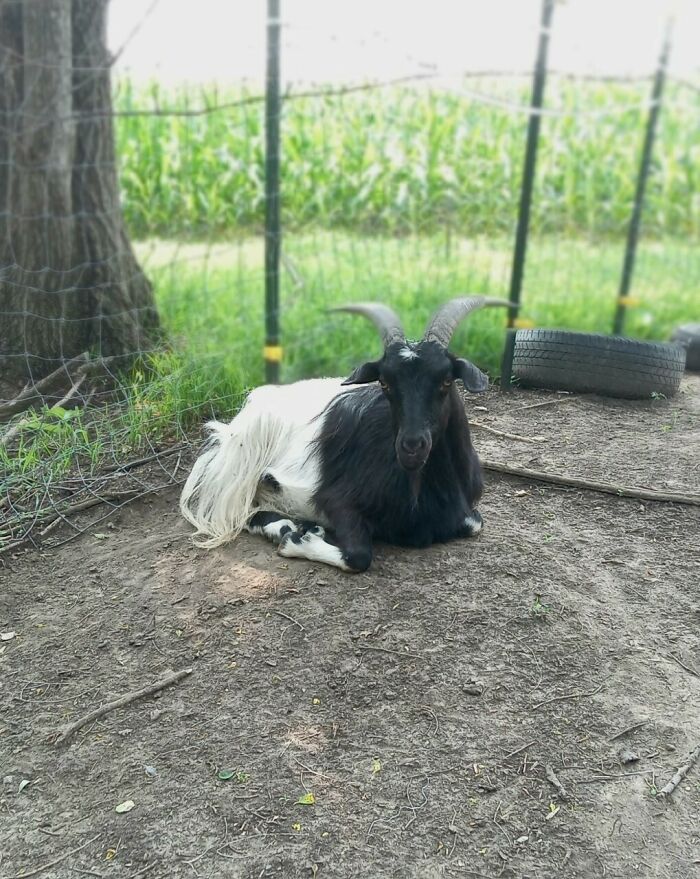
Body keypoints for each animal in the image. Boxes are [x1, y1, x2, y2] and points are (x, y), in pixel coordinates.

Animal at [180, 297, 507, 572]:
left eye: (446, 381)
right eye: (385, 383)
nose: (411, 446)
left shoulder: (467, 512)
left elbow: (475, 523)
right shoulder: (338, 498)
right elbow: (359, 556)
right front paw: (296, 542)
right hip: (242, 467)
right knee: (236, 512)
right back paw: (288, 529)